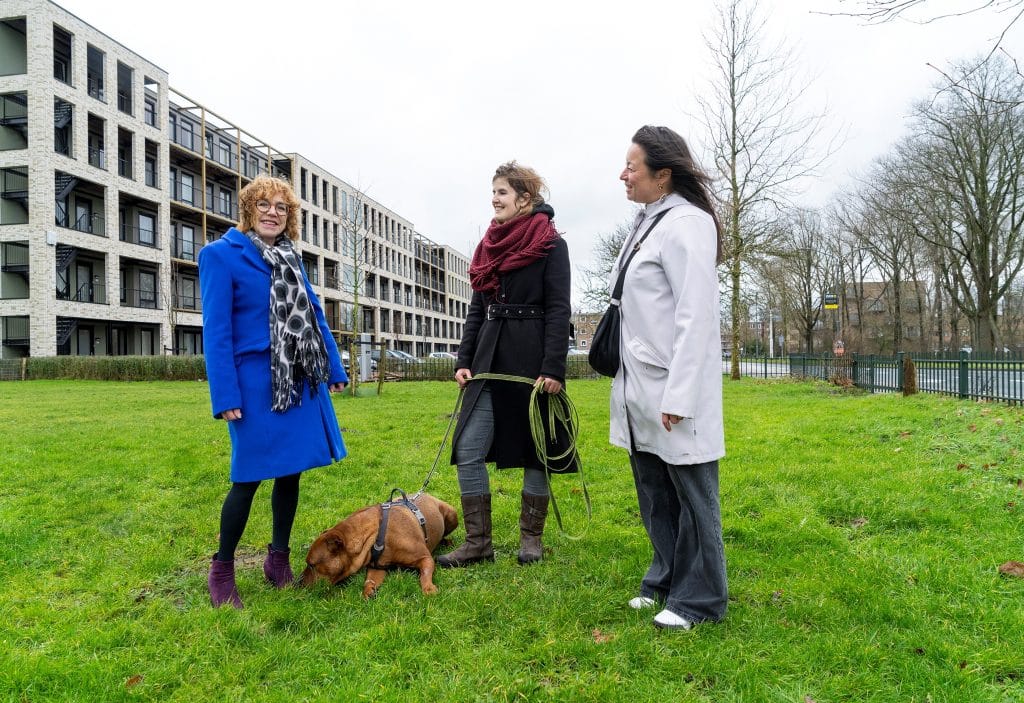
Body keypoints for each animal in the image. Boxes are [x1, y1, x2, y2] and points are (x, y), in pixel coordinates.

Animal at [296, 489, 456, 597]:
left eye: (311, 565)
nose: (296, 583)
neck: (378, 536)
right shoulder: (377, 567)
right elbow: (369, 581)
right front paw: (368, 590)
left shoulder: (425, 558)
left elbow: (425, 573)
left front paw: (428, 588)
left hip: (452, 515)